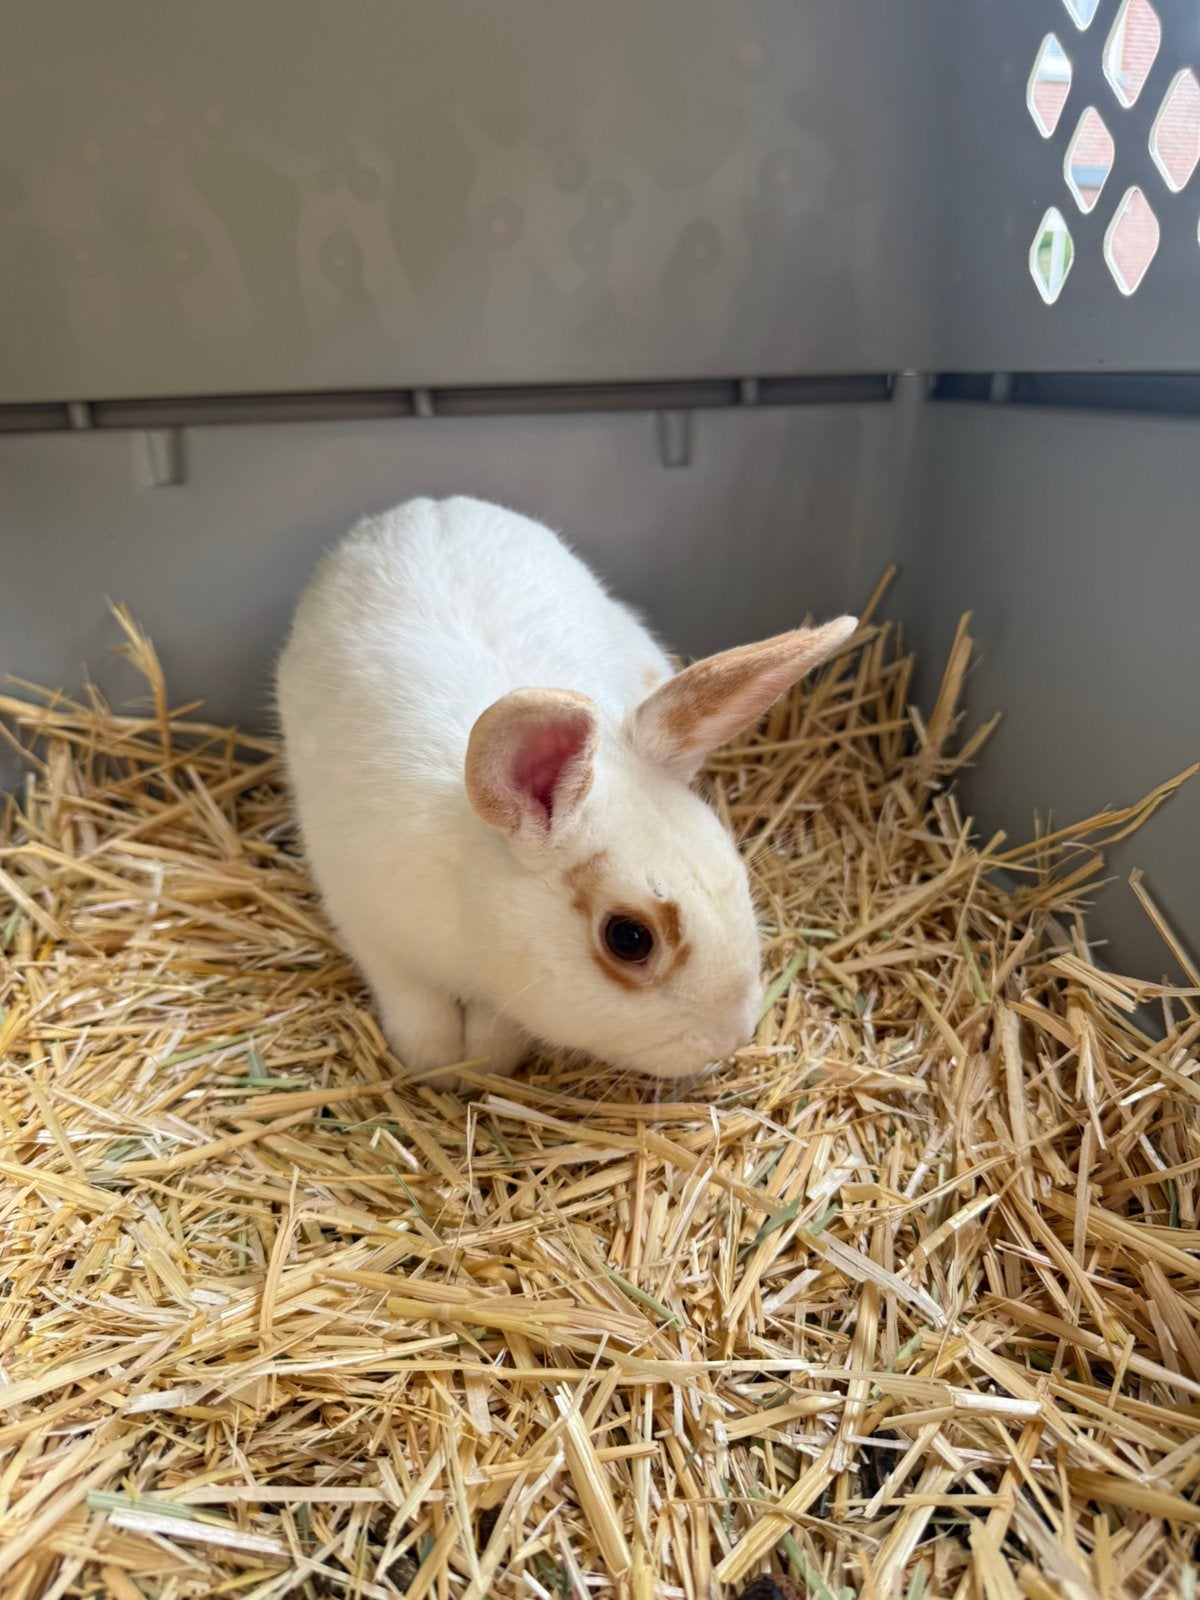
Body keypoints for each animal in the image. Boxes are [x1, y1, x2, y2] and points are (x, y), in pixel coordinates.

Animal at [276, 496, 856, 1084]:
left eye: (736, 873)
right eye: (629, 938)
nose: (731, 1038)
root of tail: (429, 503)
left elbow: (494, 1030)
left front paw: (482, 1061)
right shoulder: (376, 941)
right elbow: (419, 1013)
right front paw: (437, 1067)